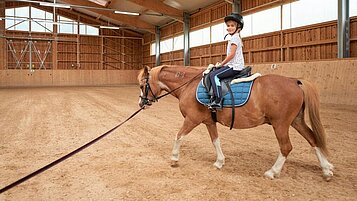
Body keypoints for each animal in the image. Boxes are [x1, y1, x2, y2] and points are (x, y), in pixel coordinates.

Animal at [138, 65, 332, 181]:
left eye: (142, 86)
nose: (141, 103)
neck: (188, 85)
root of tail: (294, 81)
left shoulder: (192, 119)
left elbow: (178, 136)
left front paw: (174, 159)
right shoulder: (209, 122)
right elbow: (215, 141)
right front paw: (219, 162)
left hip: (281, 124)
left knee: (286, 147)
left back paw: (272, 172)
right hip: (296, 121)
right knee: (313, 139)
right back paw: (327, 170)